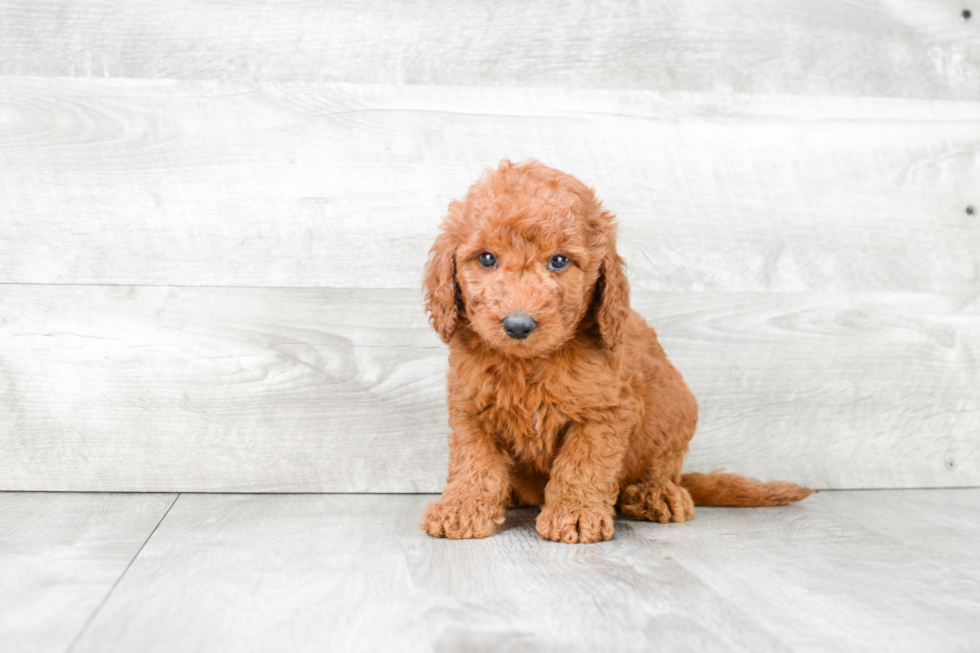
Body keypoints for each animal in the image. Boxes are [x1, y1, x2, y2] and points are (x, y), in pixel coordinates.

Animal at [422, 160, 812, 544]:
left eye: (559, 261)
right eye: (487, 258)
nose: (518, 325)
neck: (529, 362)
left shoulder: (603, 411)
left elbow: (584, 464)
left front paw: (575, 514)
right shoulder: (472, 408)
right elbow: (474, 462)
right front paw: (462, 507)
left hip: (675, 415)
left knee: (663, 468)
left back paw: (656, 494)